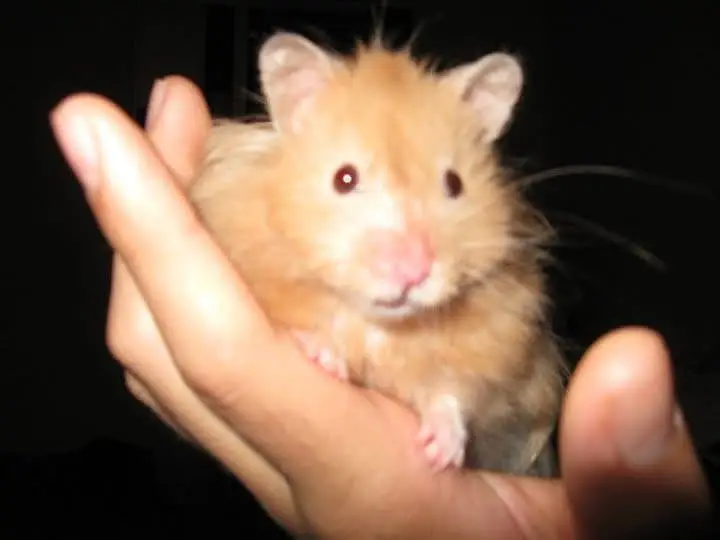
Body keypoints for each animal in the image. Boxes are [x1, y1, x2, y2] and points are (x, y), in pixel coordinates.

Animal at [188, 32, 567, 476]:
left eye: (454, 183)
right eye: (344, 178)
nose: (412, 272)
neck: (382, 327)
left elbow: (451, 392)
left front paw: (443, 454)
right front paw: (325, 356)